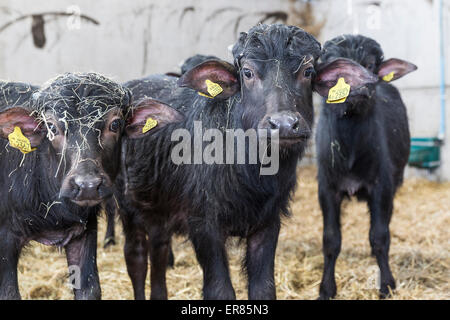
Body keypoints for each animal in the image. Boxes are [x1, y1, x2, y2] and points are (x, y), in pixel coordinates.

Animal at [314, 35, 416, 300]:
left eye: (370, 65)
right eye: (336, 70)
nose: (359, 89)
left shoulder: (381, 187)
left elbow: (379, 237)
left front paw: (387, 284)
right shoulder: (327, 189)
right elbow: (331, 240)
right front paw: (326, 288)